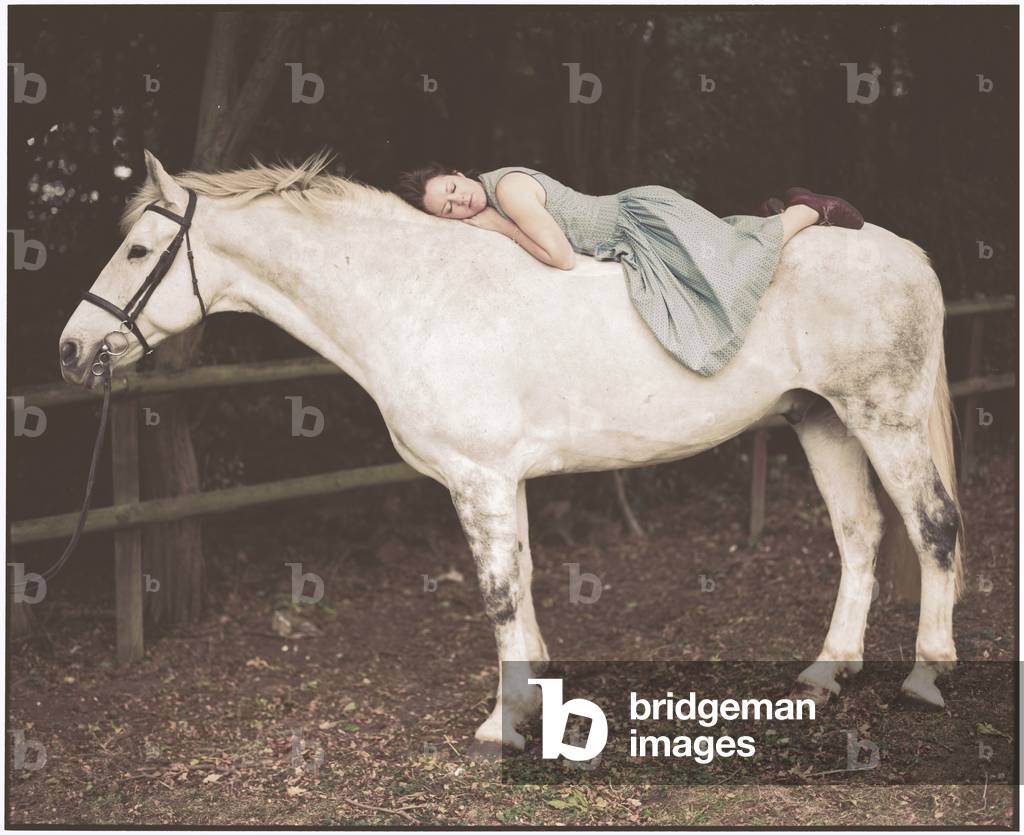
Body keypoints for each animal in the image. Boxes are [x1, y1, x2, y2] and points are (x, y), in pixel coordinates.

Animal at [59, 151, 963, 751]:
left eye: (138, 251)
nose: (72, 349)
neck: (415, 296)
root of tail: (909, 254)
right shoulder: (505, 480)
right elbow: (522, 582)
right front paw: (534, 705)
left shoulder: (479, 477)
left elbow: (496, 594)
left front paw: (501, 724)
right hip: (821, 420)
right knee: (860, 535)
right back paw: (824, 674)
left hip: (882, 419)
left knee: (934, 528)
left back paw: (925, 676)